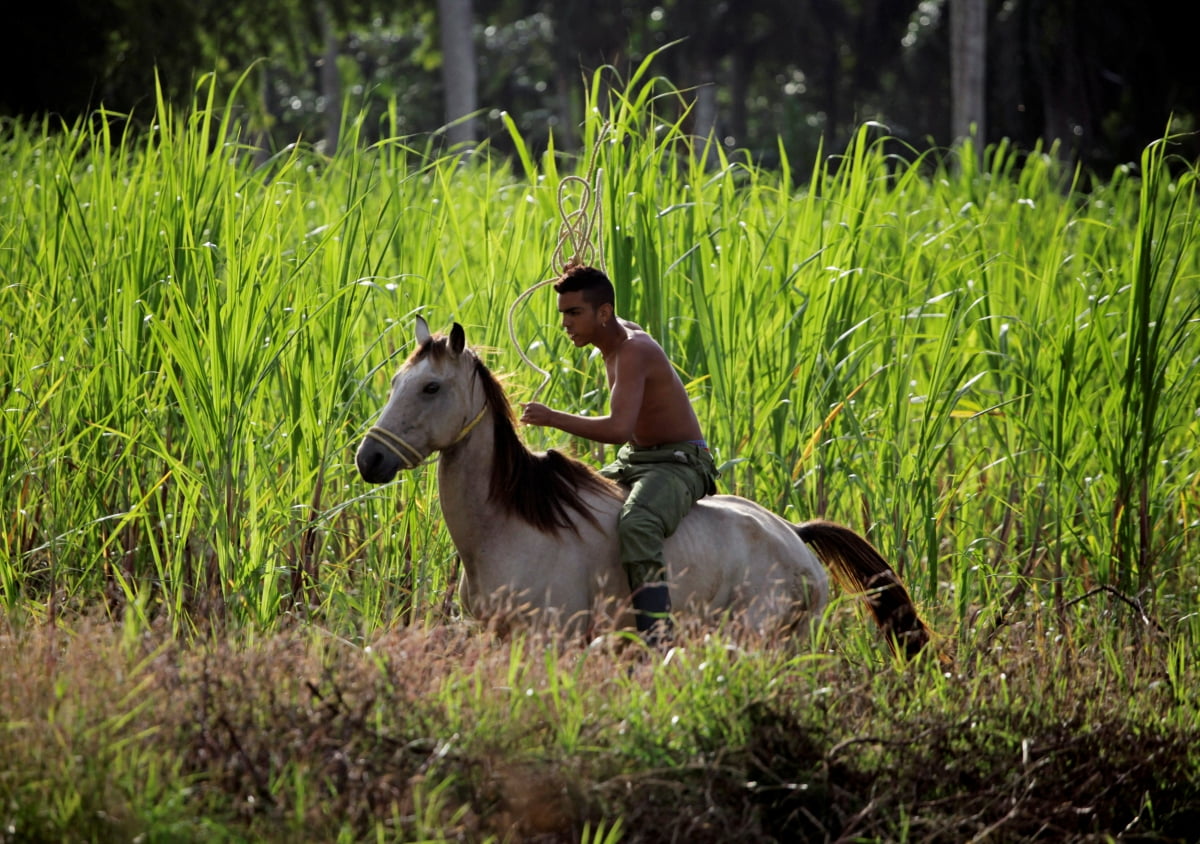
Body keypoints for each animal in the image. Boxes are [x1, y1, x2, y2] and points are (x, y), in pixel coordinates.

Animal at [352, 319, 926, 657]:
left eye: (431, 386)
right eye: (396, 383)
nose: (369, 458)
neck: (508, 524)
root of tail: (795, 534)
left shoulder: (550, 641)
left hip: (762, 639)